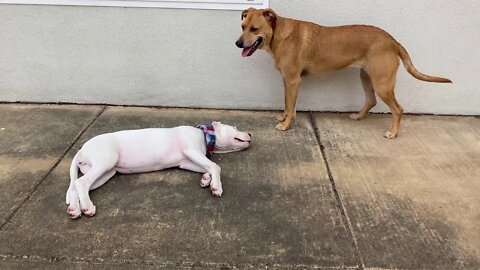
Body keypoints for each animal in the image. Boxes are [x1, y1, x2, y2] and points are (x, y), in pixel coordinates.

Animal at [65, 122, 251, 219]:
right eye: (234, 127)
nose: (250, 133)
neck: (204, 134)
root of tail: (81, 149)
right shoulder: (191, 150)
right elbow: (215, 166)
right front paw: (216, 186)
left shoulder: (187, 161)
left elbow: (207, 167)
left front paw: (206, 179)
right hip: (106, 161)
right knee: (81, 183)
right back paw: (87, 207)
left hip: (104, 173)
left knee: (76, 187)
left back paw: (75, 209)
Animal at [236, 7, 450, 139]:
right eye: (242, 27)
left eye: (254, 29)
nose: (238, 43)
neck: (278, 34)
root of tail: (392, 40)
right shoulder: (286, 80)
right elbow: (287, 103)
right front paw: (283, 117)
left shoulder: (293, 81)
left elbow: (292, 106)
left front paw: (286, 124)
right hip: (367, 77)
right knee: (371, 101)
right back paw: (358, 116)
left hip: (382, 84)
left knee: (398, 109)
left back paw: (393, 133)